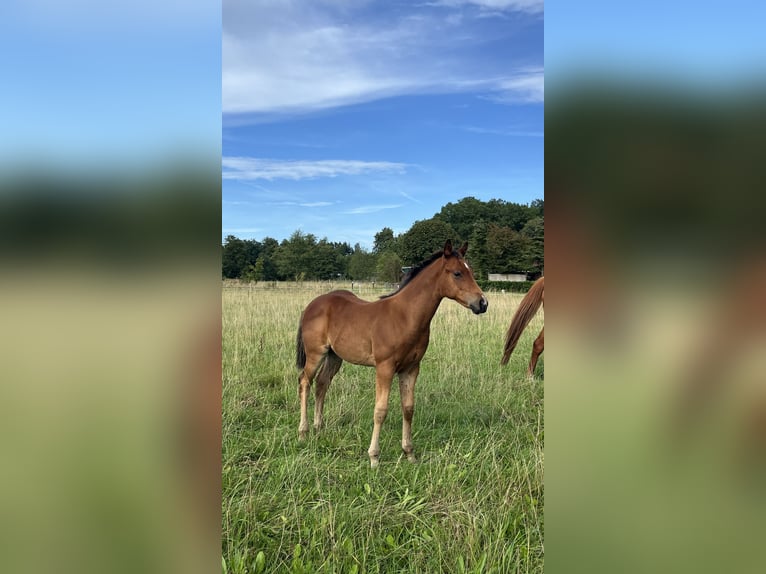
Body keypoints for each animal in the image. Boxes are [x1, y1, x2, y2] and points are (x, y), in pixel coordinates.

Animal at [295, 240, 488, 468]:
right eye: (457, 273)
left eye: (472, 271)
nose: (482, 303)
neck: (405, 316)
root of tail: (312, 305)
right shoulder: (385, 367)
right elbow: (380, 411)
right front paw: (374, 458)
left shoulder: (411, 368)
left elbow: (408, 408)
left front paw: (410, 453)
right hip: (315, 354)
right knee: (305, 382)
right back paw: (303, 432)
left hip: (335, 356)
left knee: (322, 384)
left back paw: (319, 428)